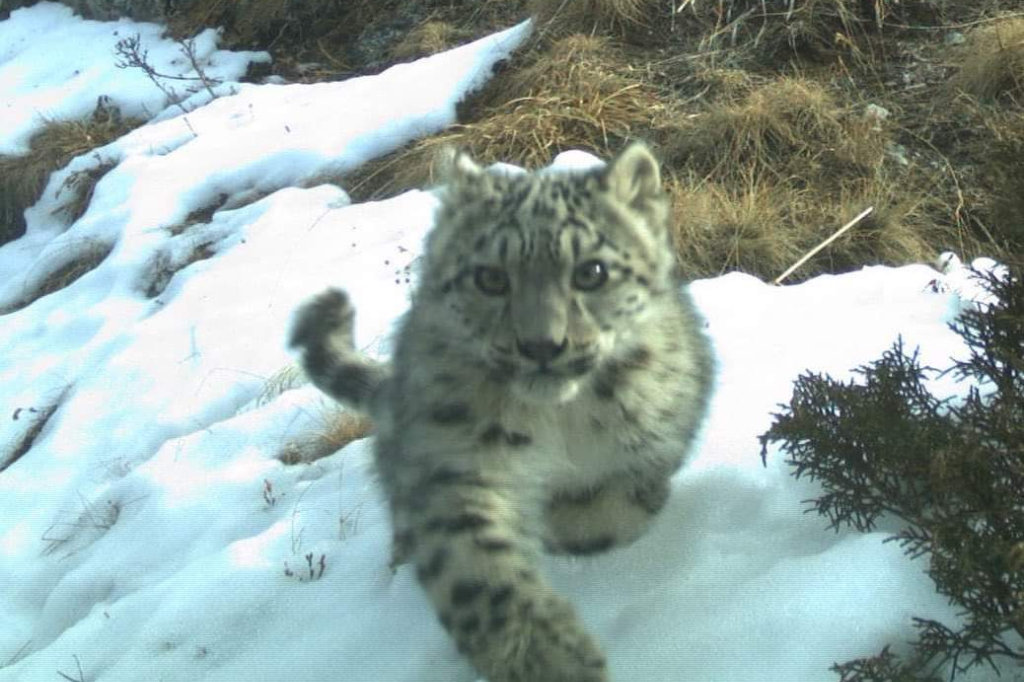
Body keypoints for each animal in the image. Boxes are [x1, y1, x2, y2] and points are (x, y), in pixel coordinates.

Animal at [290, 140, 712, 675]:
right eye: (490, 277)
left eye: (591, 271)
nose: (542, 346)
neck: (560, 422)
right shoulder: (452, 460)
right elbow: (474, 571)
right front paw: (548, 658)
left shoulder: (656, 436)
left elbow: (615, 508)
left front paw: (564, 524)